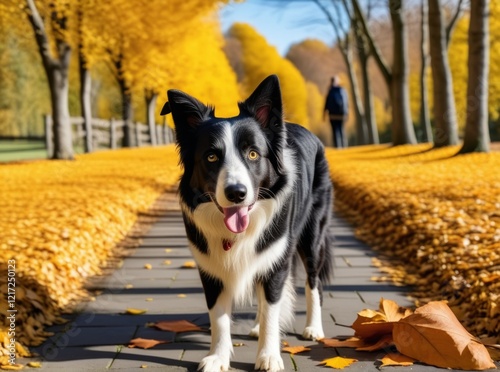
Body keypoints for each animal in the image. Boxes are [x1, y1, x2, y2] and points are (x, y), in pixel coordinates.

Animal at [164, 74, 334, 370]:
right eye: (211, 156)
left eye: (253, 154)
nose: (236, 193)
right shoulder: (210, 268)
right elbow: (219, 317)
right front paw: (218, 357)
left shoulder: (277, 257)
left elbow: (271, 311)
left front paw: (268, 356)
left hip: (312, 237)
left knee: (313, 282)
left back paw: (313, 328)